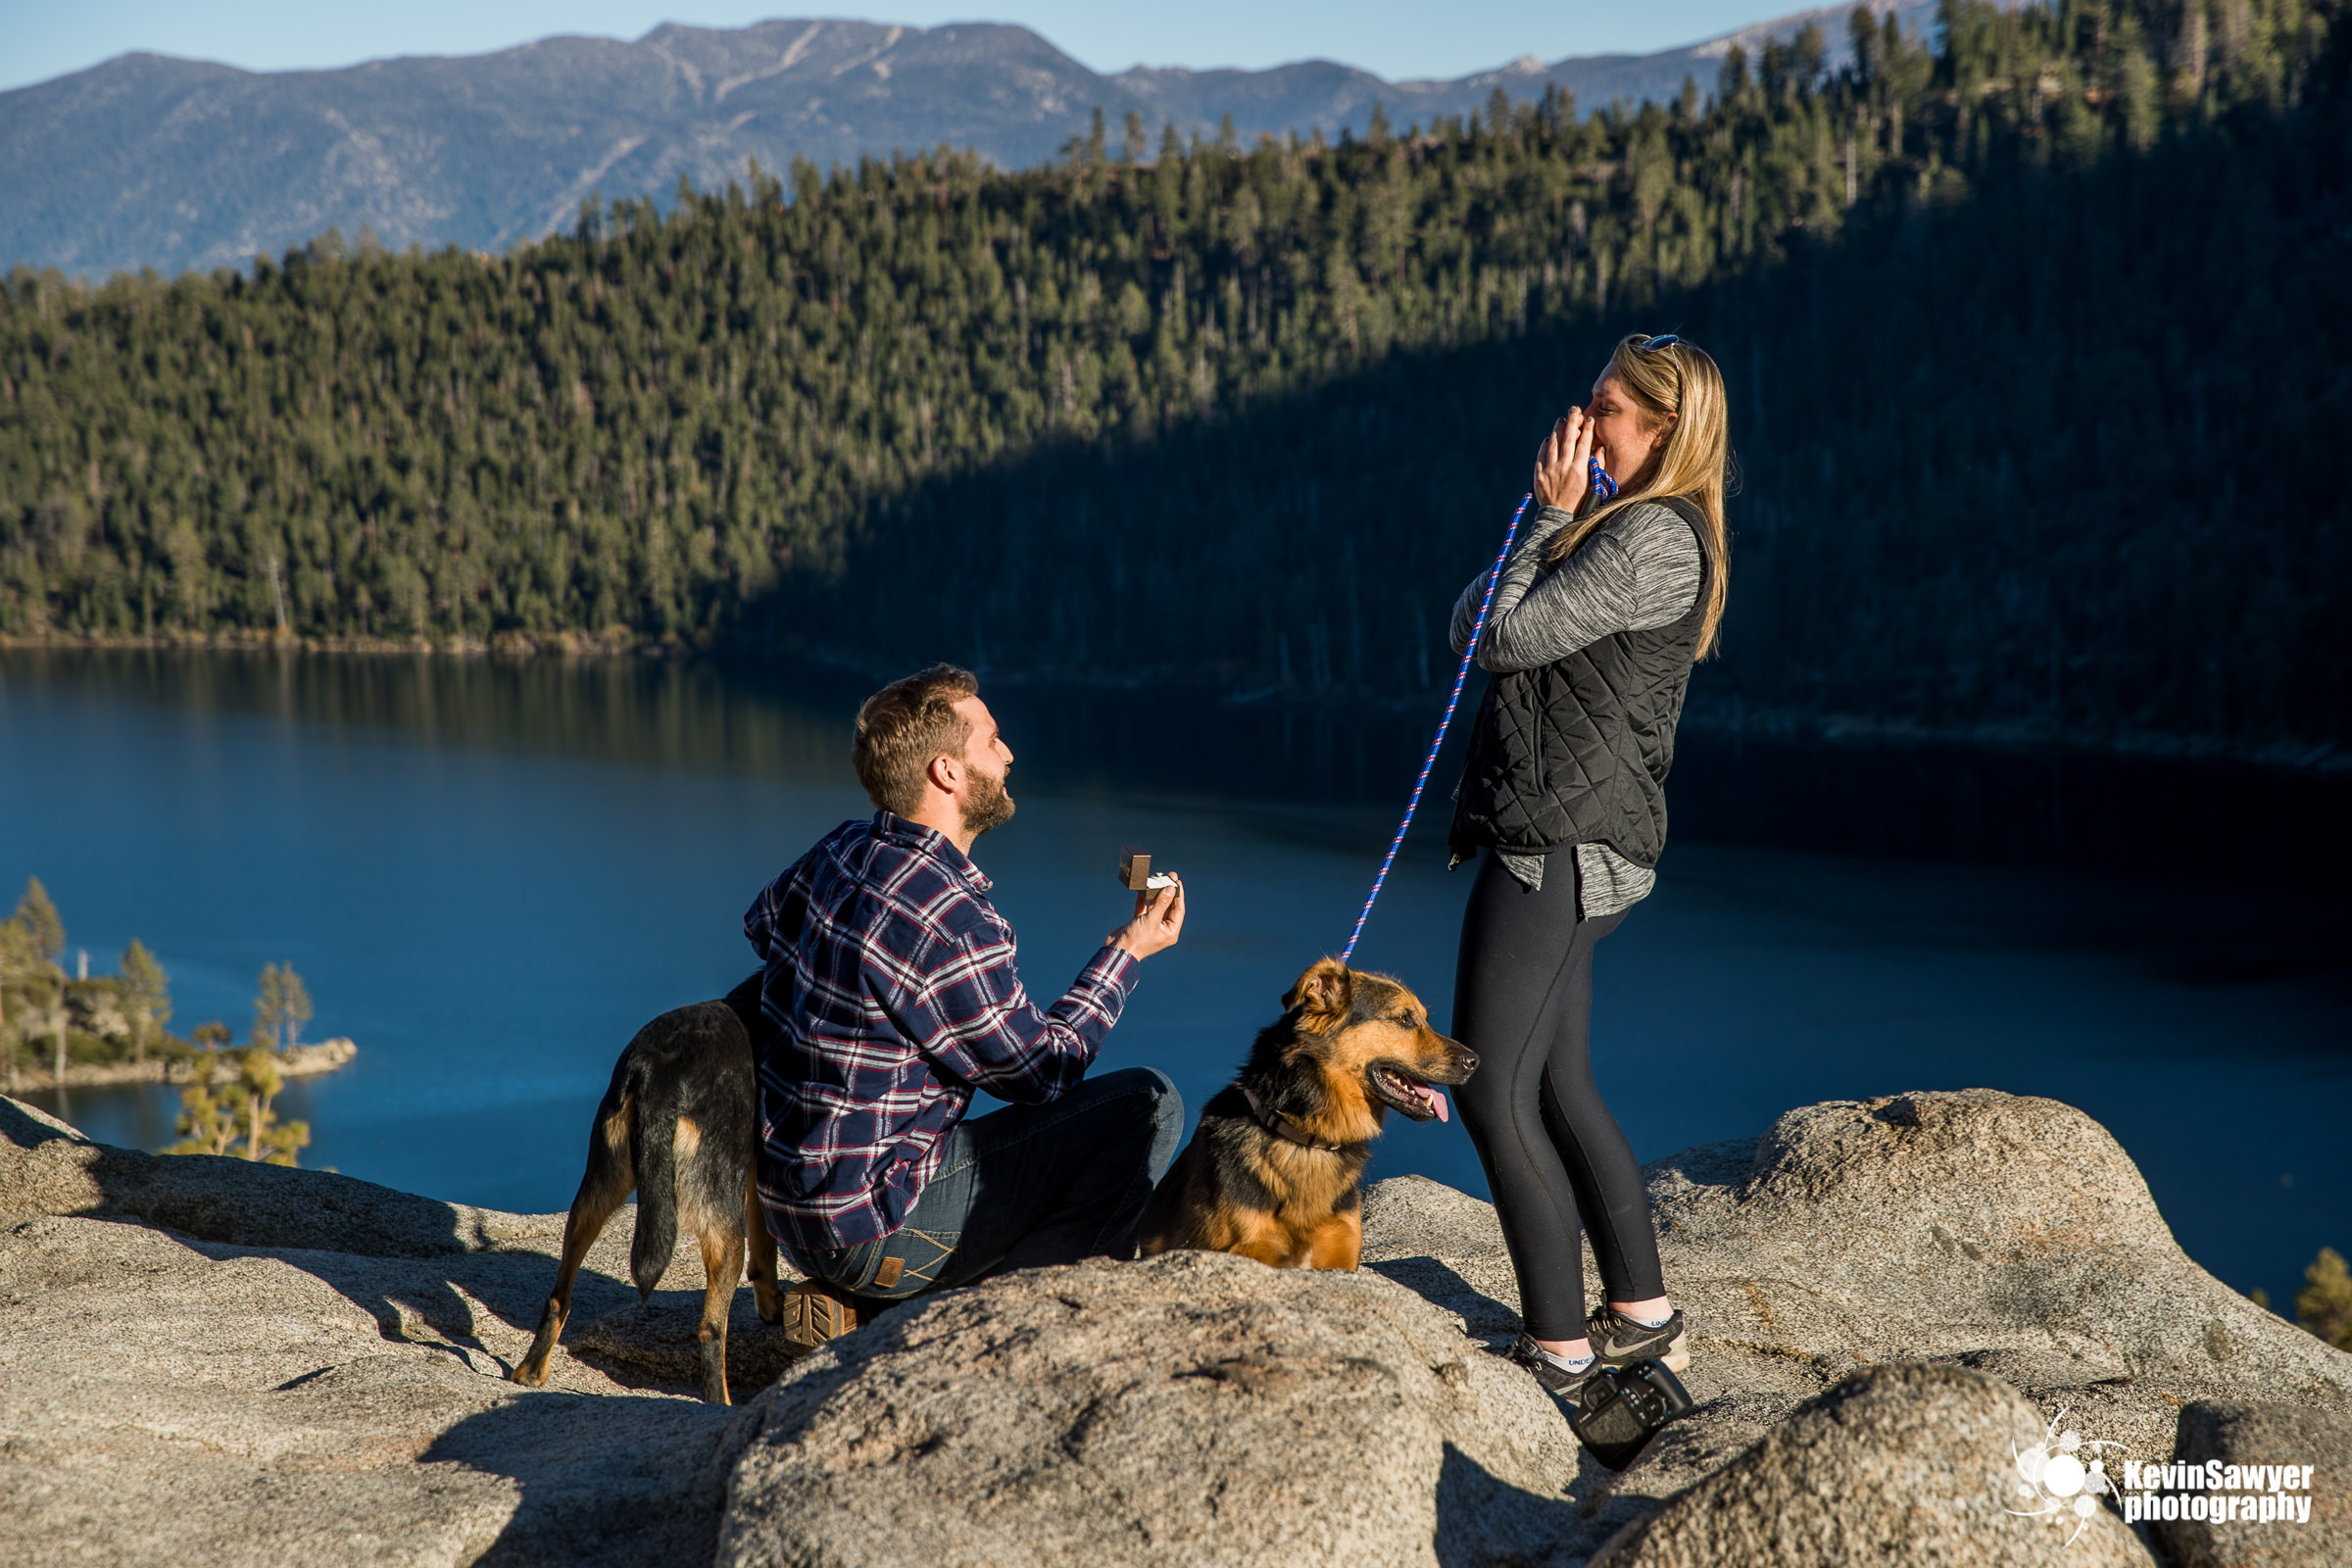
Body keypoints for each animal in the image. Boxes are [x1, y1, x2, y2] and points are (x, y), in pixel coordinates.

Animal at [508, 973, 780, 1400]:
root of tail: (660, 1076)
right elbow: (767, 1242)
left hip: (595, 1191)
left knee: (558, 1294)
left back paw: (531, 1371)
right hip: (721, 1218)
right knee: (711, 1329)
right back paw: (720, 1403)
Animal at [1133, 958, 1467, 1278]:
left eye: (1423, 1017)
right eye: (1402, 1019)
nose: (1473, 1061)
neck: (1308, 1140)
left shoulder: (1340, 1253)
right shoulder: (1242, 1251)